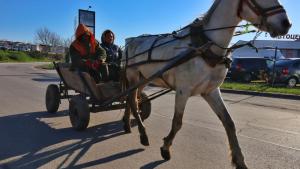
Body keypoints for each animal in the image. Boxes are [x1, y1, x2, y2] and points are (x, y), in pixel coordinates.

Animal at [121, 0, 290, 168]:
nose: (286, 23)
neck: (205, 47)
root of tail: (130, 41)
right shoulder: (183, 91)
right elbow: (177, 122)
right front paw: (165, 148)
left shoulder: (211, 91)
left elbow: (229, 122)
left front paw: (239, 160)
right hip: (133, 76)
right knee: (133, 101)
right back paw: (143, 134)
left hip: (143, 79)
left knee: (132, 99)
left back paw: (127, 124)